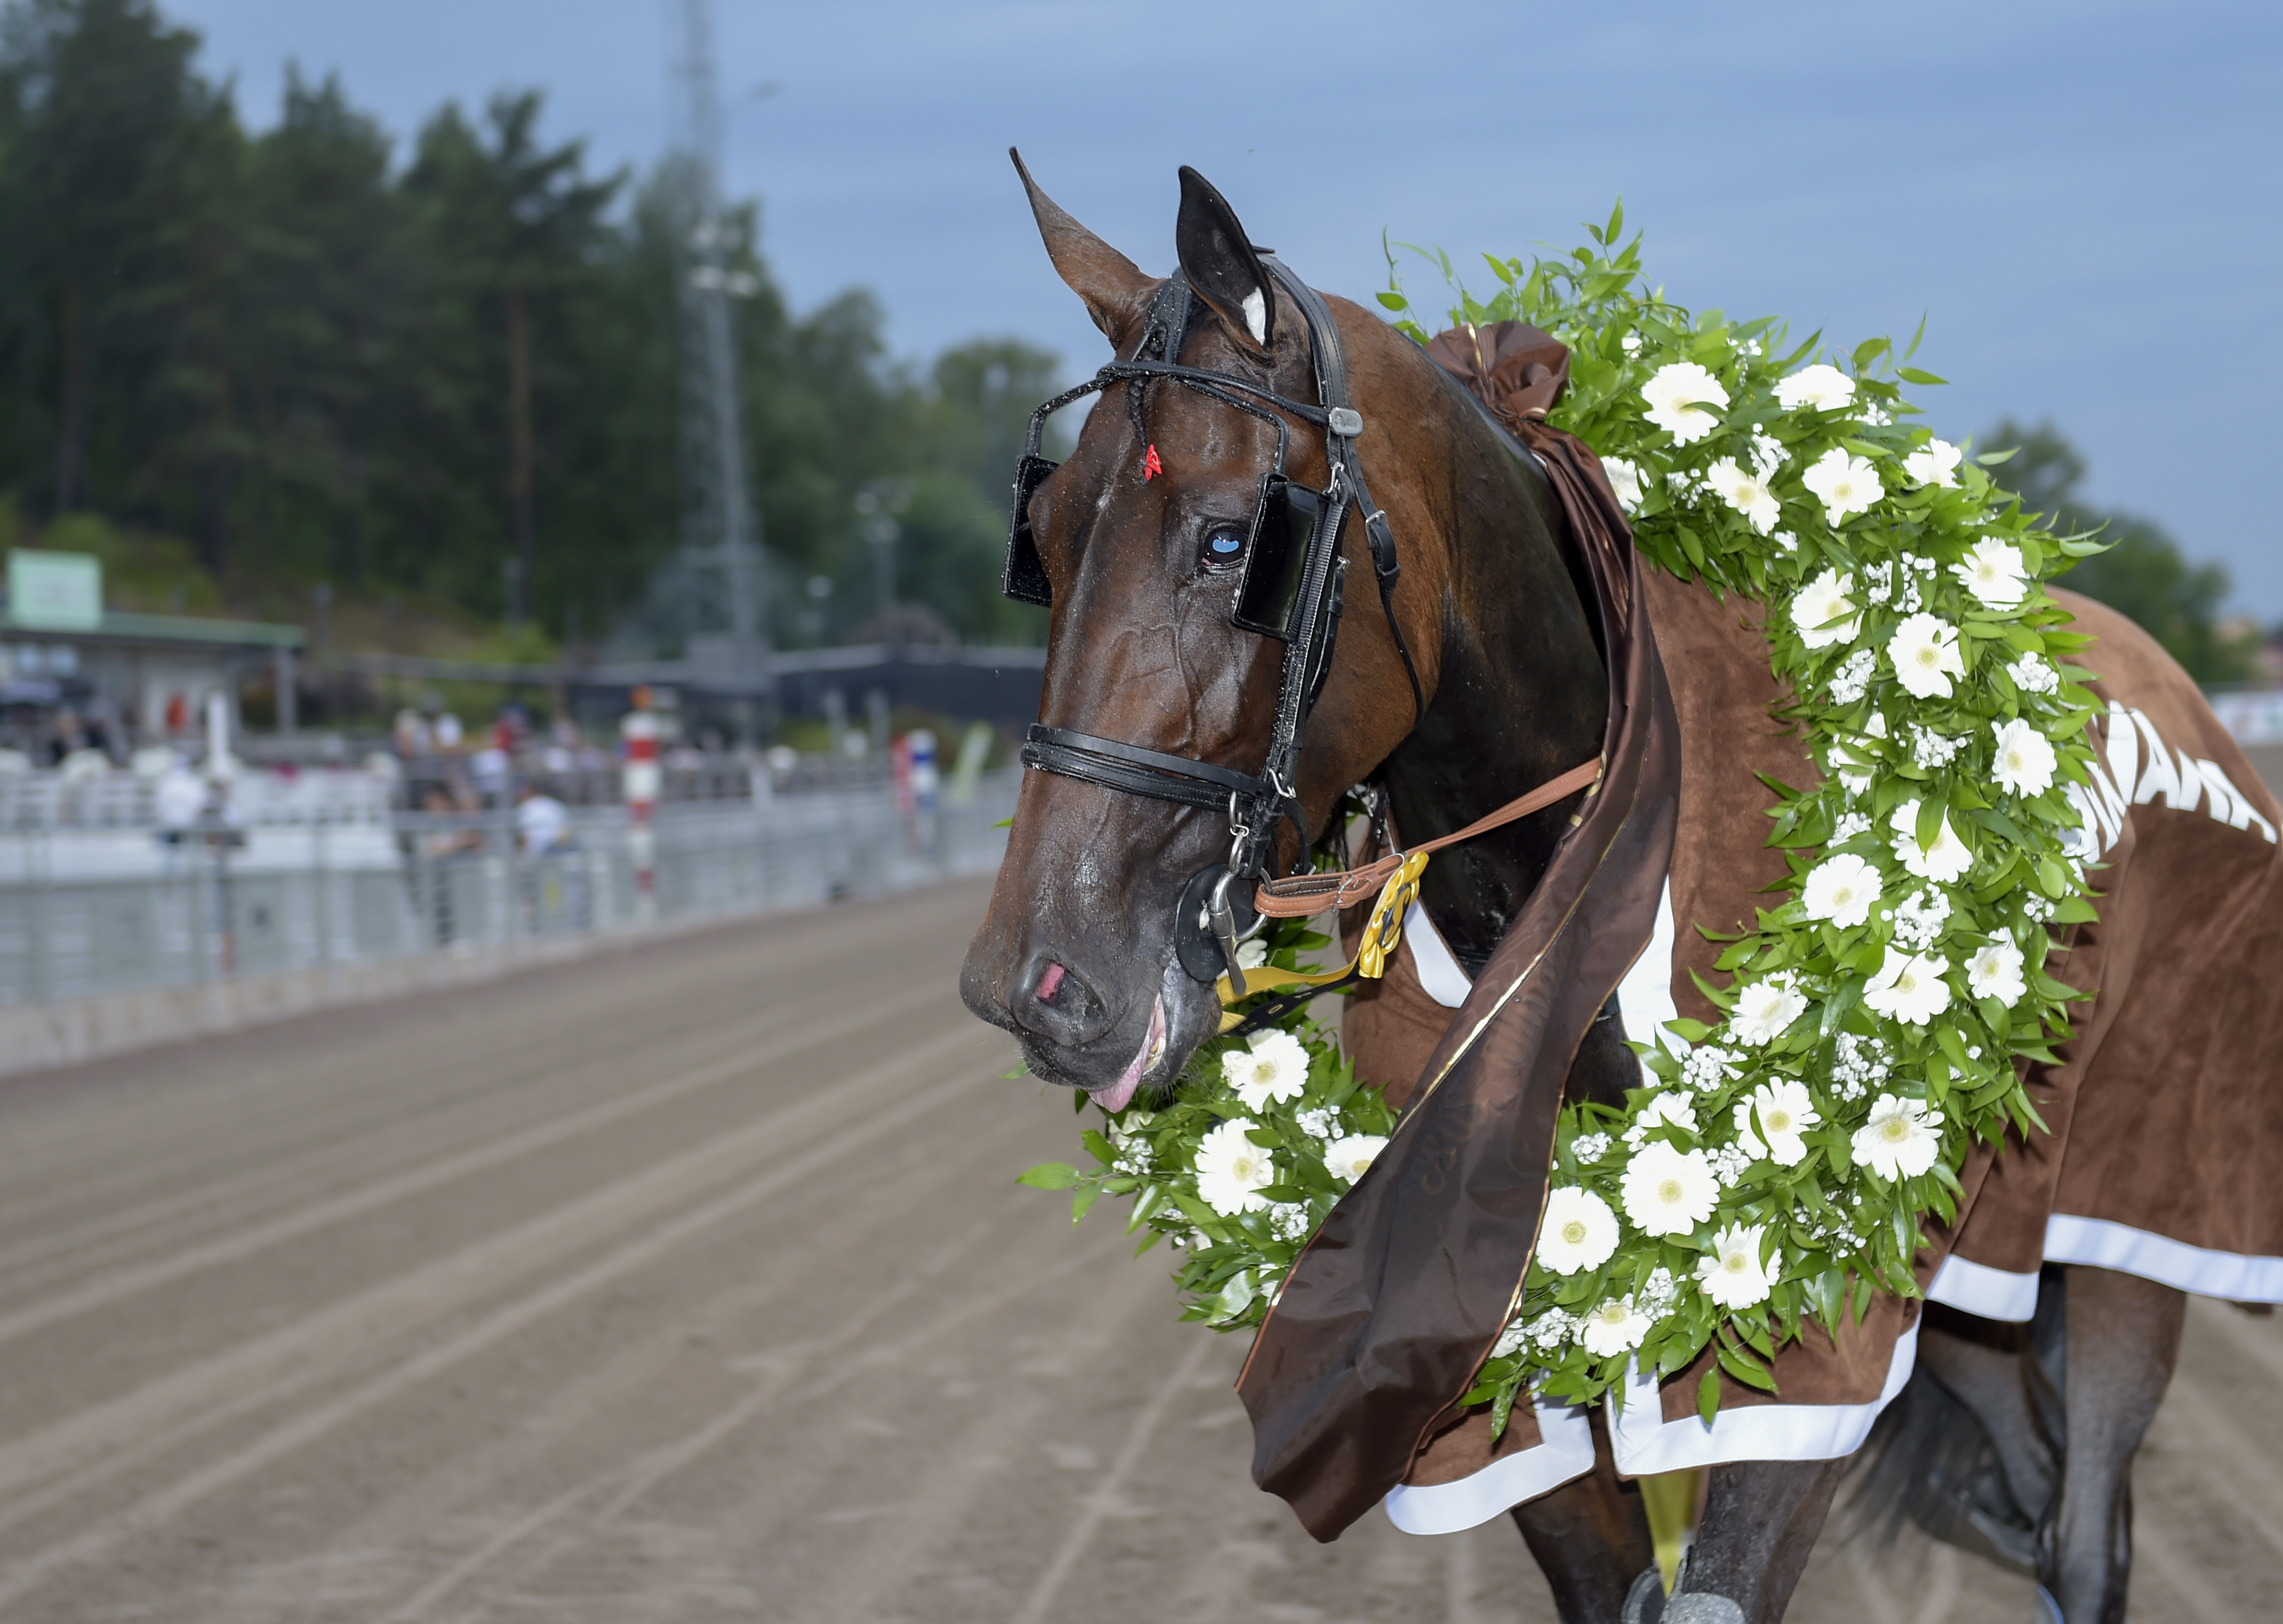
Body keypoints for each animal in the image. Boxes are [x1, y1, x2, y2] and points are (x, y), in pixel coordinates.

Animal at [959, 155, 2191, 1624]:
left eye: (1224, 541)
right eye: (1038, 537)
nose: (1033, 981)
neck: (1577, 866)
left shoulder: (1812, 1307)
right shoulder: (1480, 1344)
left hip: (2121, 1212)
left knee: (2084, 1520)